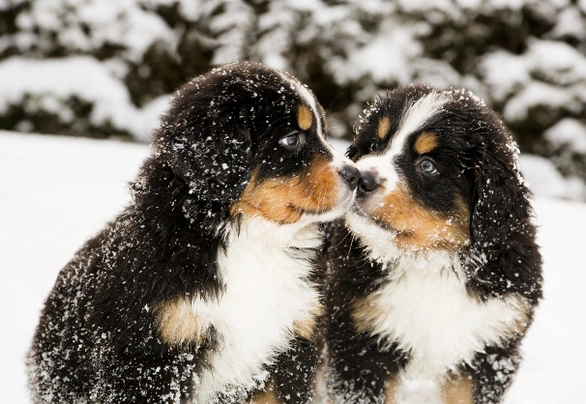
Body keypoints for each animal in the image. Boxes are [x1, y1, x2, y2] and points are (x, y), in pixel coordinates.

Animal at [29, 60, 358, 404]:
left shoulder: (291, 349)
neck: (253, 241)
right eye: (292, 139)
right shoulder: (153, 356)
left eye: (323, 132)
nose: (356, 176)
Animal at [322, 84, 540, 404]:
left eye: (427, 165)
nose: (361, 177)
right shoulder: (360, 344)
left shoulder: (490, 348)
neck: (429, 261)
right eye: (374, 145)